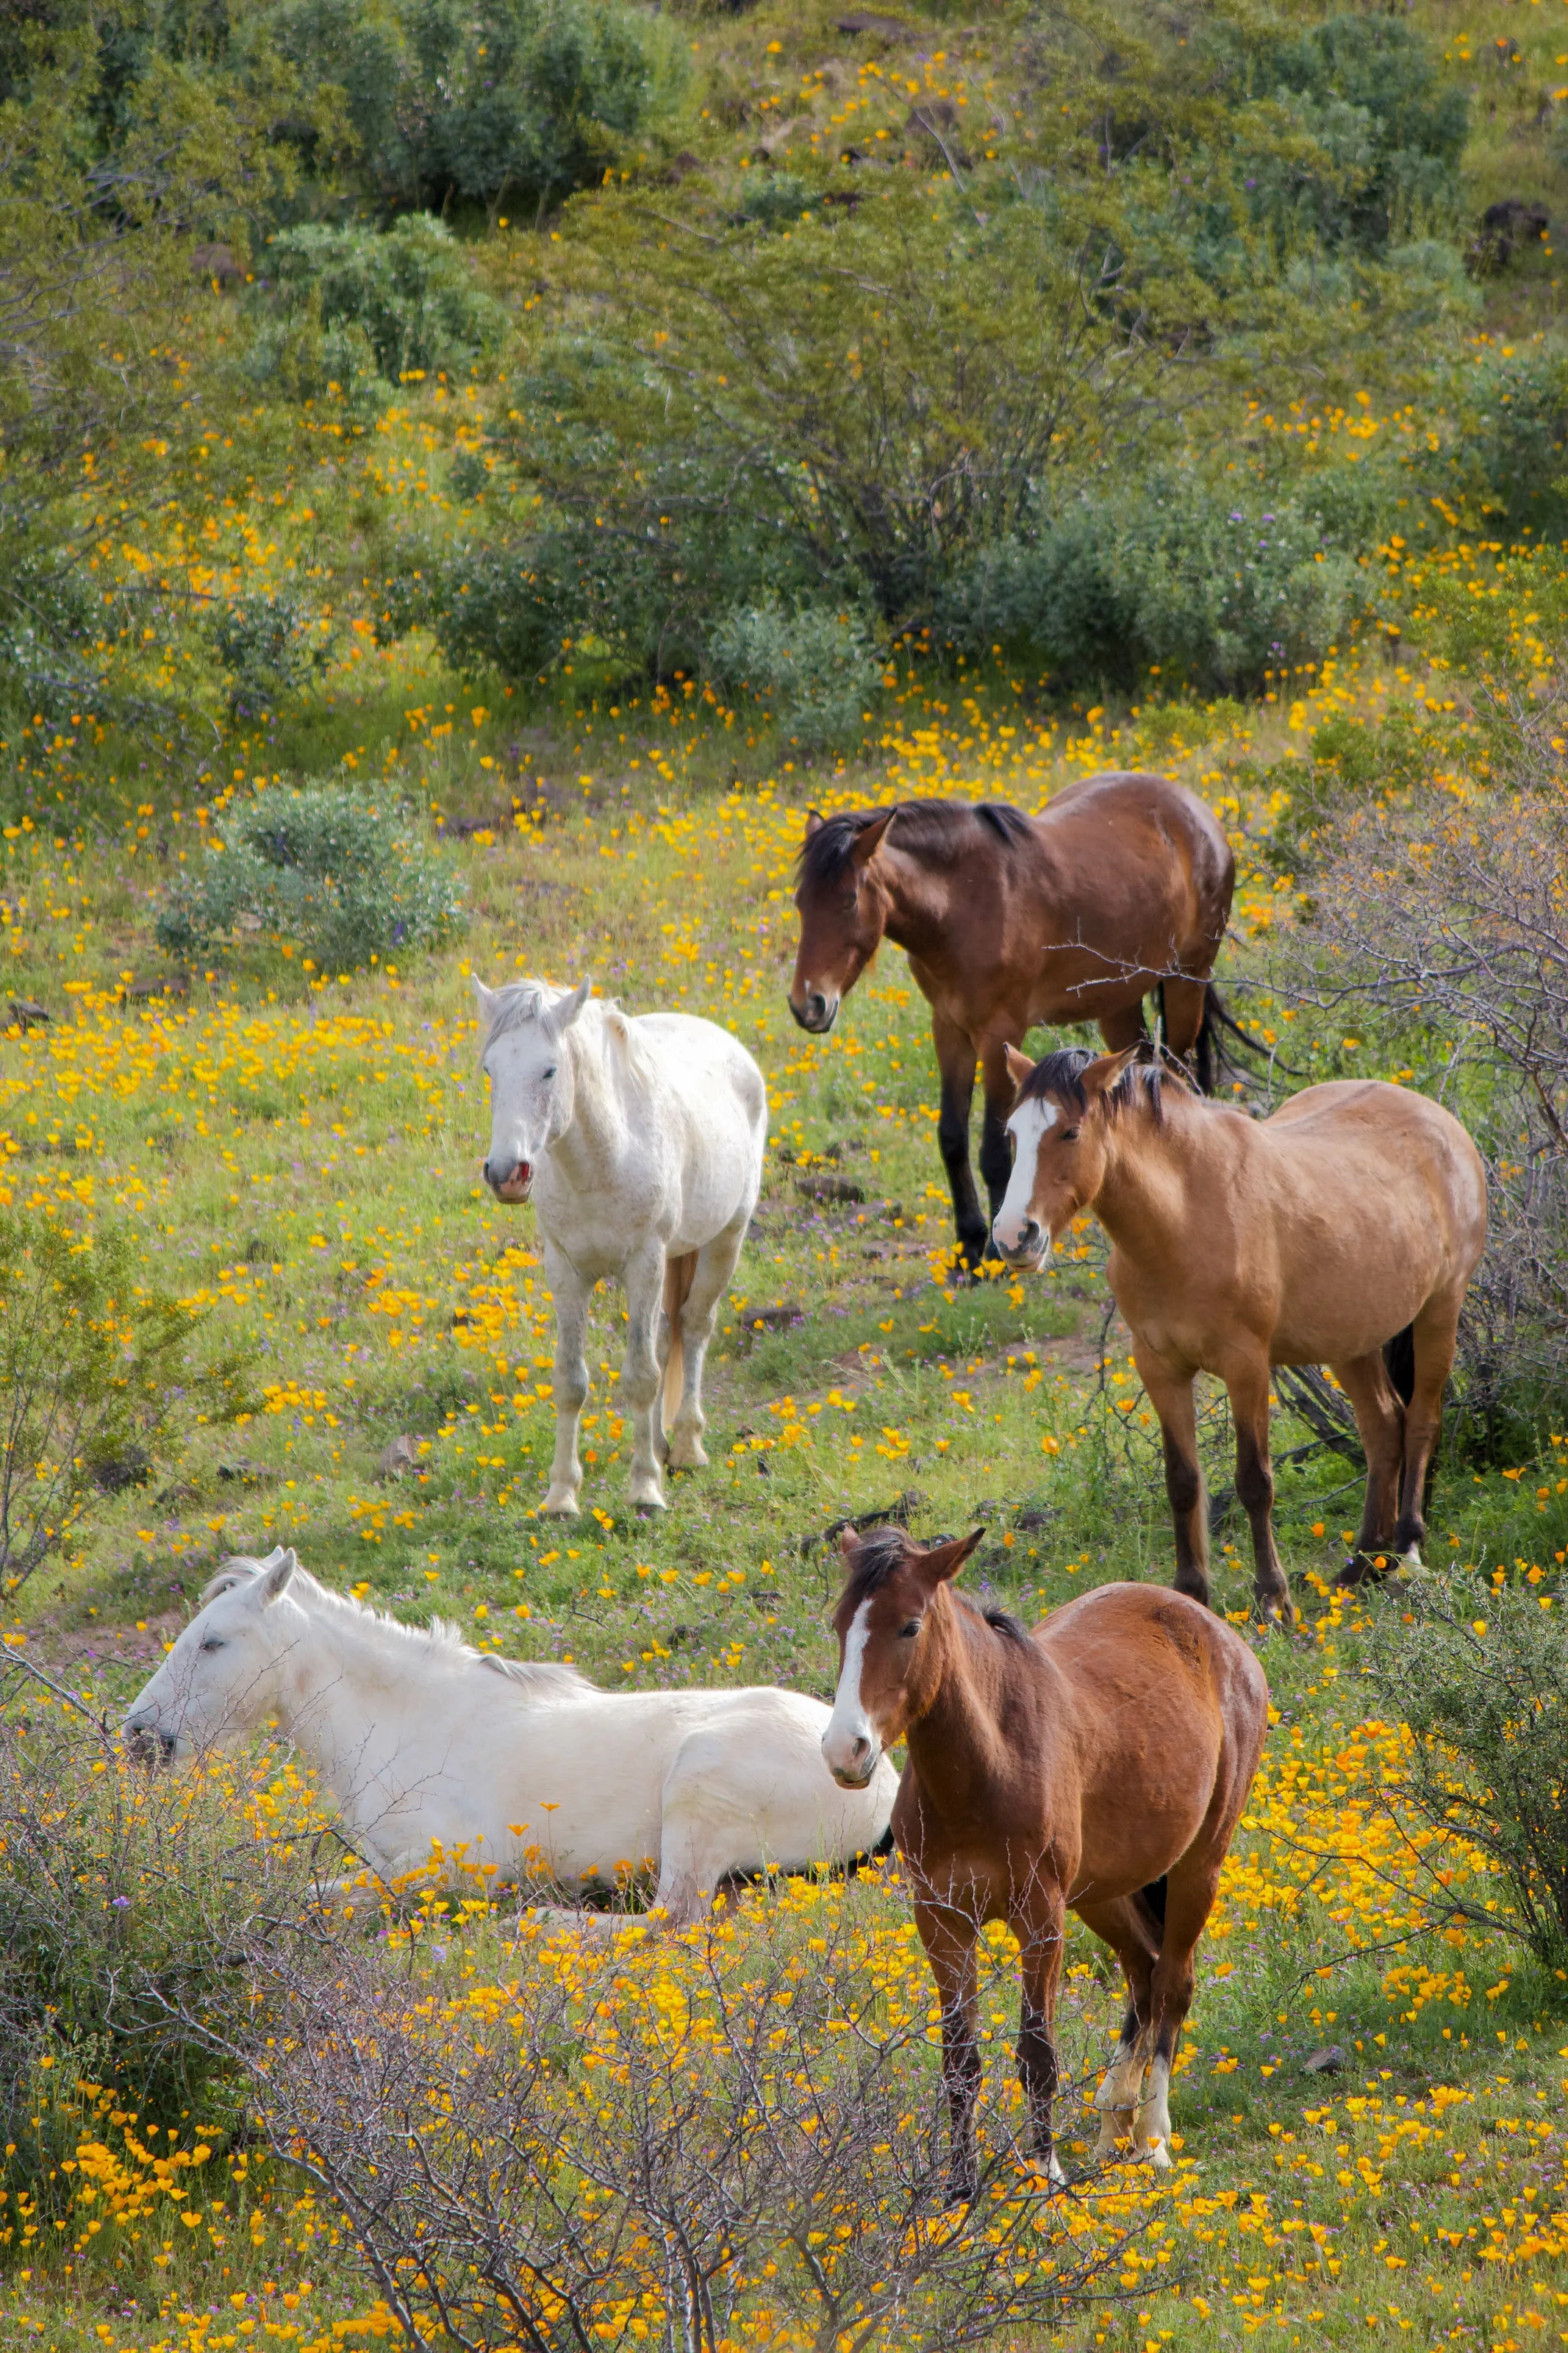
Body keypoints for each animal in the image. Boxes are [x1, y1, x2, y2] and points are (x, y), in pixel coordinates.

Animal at [124, 1549, 899, 1926]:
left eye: (213, 1642)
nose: (139, 1735)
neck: (413, 1725)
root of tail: (876, 1774)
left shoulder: (459, 1865)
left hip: (697, 1794)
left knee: (669, 1922)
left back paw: (541, 1922)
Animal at [475, 976, 767, 1515]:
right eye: (490, 1071)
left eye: (549, 1070)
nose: (506, 1174)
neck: (601, 1162)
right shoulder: (566, 1271)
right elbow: (571, 1381)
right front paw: (561, 1497)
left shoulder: (643, 1265)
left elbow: (642, 1378)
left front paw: (645, 1490)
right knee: (667, 1333)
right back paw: (660, 1445)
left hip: (725, 1240)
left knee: (695, 1326)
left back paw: (686, 1447)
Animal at [787, 774, 1236, 1268]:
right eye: (800, 902)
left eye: (849, 900)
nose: (807, 1005)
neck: (965, 903)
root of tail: (1197, 812)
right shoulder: (949, 1029)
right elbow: (952, 1138)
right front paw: (968, 1247)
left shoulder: (999, 1034)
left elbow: (995, 1151)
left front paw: (996, 1257)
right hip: (1118, 1003)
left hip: (1187, 982)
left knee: (1180, 1075)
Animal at [822, 1526, 1267, 2197]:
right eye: (838, 1624)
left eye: (909, 1626)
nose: (844, 1750)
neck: (985, 1769)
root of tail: (1218, 1635)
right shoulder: (942, 1922)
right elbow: (960, 2059)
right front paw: (960, 2189)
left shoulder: (1040, 1919)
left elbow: (1036, 2053)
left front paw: (1043, 2172)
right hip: (1103, 1893)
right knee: (1142, 1973)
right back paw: (1113, 2123)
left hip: (1196, 1867)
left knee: (1172, 1984)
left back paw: (1152, 2137)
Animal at [992, 1047, 1488, 1616]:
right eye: (1011, 1133)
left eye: (1070, 1132)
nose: (1013, 1236)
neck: (1184, 1218)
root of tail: (1439, 1119)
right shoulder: (1159, 1368)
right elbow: (1182, 1482)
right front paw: (1190, 1594)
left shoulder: (1246, 1366)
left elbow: (1254, 1481)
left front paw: (1273, 1600)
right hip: (1351, 1339)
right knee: (1384, 1427)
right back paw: (1362, 1565)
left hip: (1439, 1309)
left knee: (1422, 1421)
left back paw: (1406, 1551)